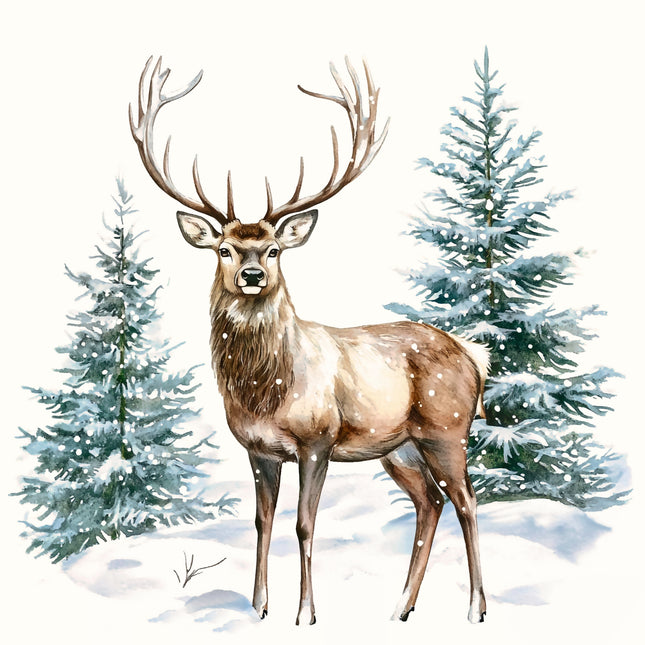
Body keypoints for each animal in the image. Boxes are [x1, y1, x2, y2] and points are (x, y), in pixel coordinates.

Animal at [129, 56, 488, 626]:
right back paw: (399, 608)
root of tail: (475, 355)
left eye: (274, 249)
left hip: (446, 428)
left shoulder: (317, 440)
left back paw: (474, 608)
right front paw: (258, 607)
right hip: (400, 449)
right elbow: (262, 522)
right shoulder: (258, 448)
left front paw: (305, 614)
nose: (253, 274)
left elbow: (304, 523)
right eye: (225, 249)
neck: (266, 389)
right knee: (430, 503)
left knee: (467, 502)